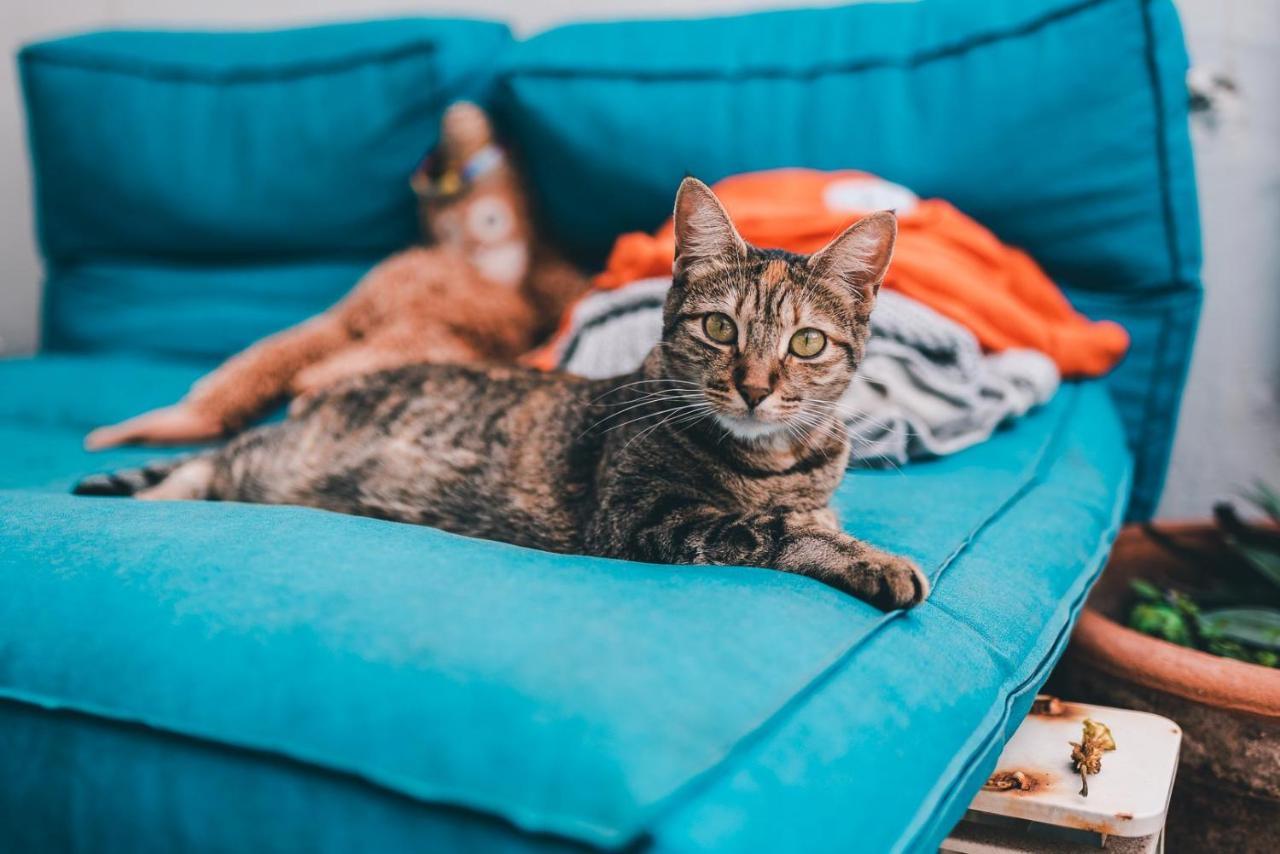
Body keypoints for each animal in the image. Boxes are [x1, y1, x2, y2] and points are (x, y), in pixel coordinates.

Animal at [77, 179, 931, 606]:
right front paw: (874, 560)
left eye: (806, 343)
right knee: (207, 462)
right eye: (720, 329)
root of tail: (317, 399)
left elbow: (804, 517)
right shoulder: (642, 518)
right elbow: (772, 531)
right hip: (273, 457)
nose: (753, 388)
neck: (774, 459)